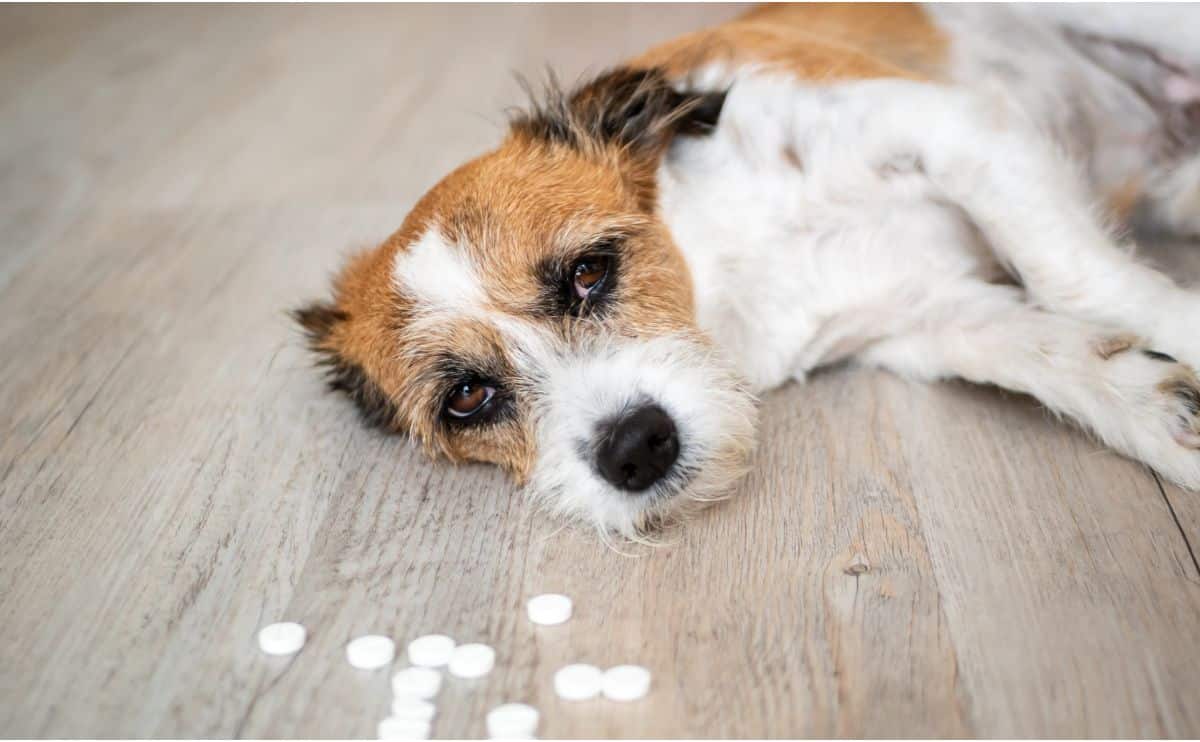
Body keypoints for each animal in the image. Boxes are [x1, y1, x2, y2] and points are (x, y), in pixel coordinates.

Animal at [292, 2, 1200, 535]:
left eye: (588, 271)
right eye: (468, 398)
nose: (636, 449)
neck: (725, 262)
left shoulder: (948, 125)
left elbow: (1074, 275)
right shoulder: (928, 317)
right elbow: (1059, 352)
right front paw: (1169, 414)